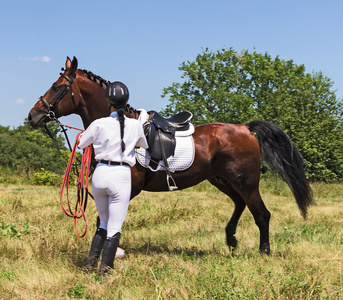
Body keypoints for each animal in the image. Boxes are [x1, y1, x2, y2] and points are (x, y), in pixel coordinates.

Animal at [28, 56, 314, 255]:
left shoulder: (126, 188)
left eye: (56, 88)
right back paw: (231, 239)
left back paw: (264, 251)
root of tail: (245, 127)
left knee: (261, 214)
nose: (33, 116)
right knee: (240, 205)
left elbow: (107, 220)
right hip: (221, 180)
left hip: (246, 182)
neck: (118, 126)